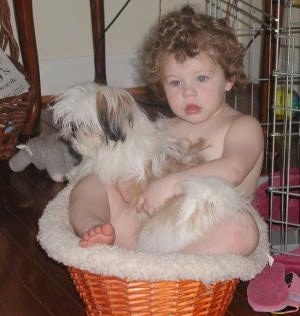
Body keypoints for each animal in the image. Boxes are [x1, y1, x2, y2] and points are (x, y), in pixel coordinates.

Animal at [51, 82, 255, 254]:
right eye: (70, 122)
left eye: (85, 123)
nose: (73, 129)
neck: (121, 138)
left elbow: (87, 170)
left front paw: (71, 174)